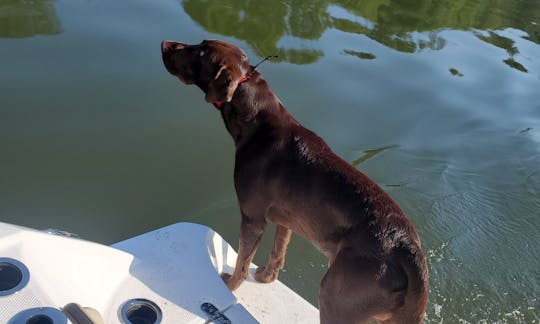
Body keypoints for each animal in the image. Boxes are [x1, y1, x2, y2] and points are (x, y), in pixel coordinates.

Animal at [160, 39, 426, 322]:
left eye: (199, 51)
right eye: (199, 44)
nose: (165, 43)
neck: (257, 121)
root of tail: (409, 249)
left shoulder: (253, 217)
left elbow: (242, 263)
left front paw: (228, 286)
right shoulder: (286, 219)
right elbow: (278, 253)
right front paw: (266, 277)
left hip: (335, 298)